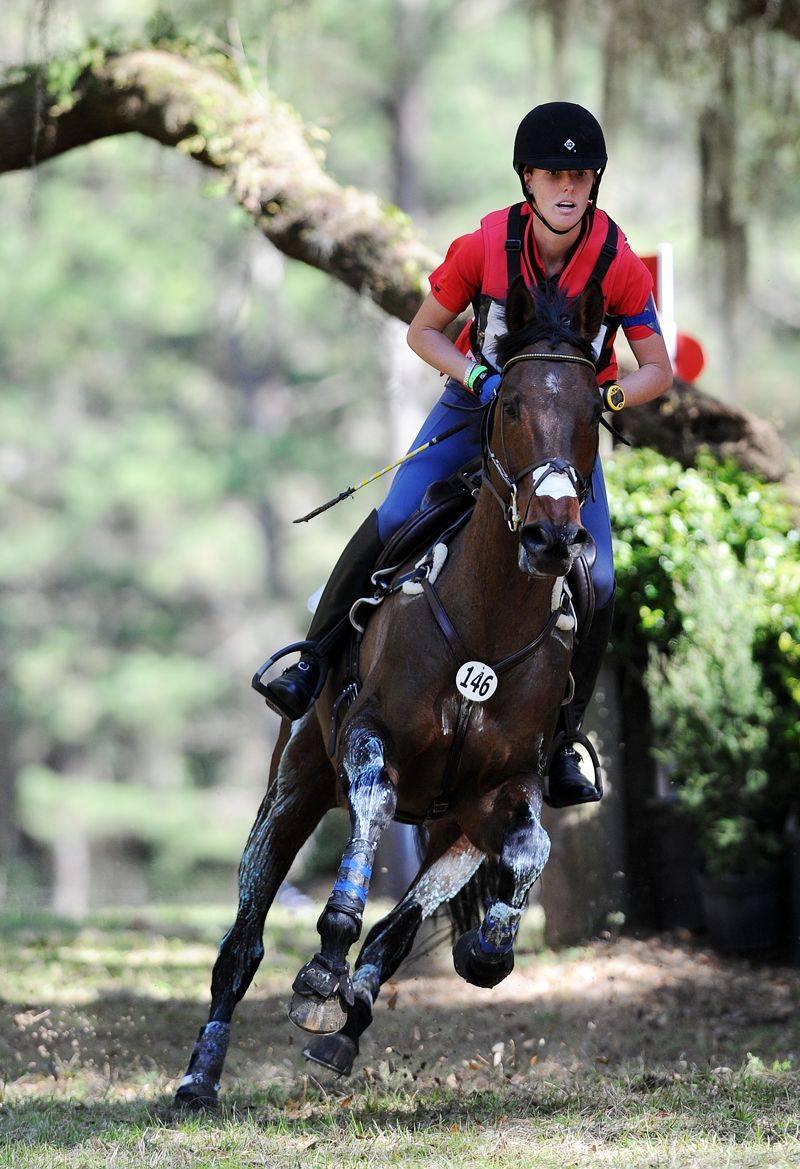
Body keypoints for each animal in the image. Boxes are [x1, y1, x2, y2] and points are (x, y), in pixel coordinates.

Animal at [175, 271, 608, 1103]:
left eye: (593, 414)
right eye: (509, 404)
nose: (552, 536)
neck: (488, 625)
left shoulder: (501, 791)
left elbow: (528, 845)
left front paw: (487, 949)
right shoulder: (367, 735)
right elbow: (373, 800)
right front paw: (326, 952)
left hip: (450, 827)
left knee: (405, 922)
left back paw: (351, 1017)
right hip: (295, 781)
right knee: (243, 943)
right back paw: (202, 1075)